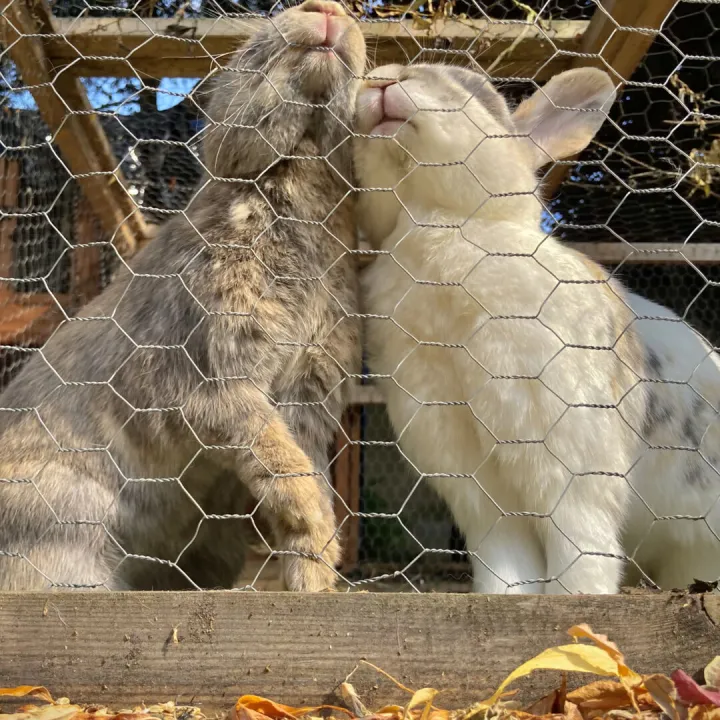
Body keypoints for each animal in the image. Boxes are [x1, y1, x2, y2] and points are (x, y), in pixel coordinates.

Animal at [0, 0, 365, 592]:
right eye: (246, 49)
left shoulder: (308, 397)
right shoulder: (211, 380)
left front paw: (314, 576)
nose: (328, 9)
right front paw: (317, 529)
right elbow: (279, 458)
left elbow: (302, 468)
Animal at [353, 63, 720, 594]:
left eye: (473, 90)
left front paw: (579, 602)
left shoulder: (573, 471)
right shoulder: (477, 493)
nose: (382, 79)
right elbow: (505, 565)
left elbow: (582, 555)